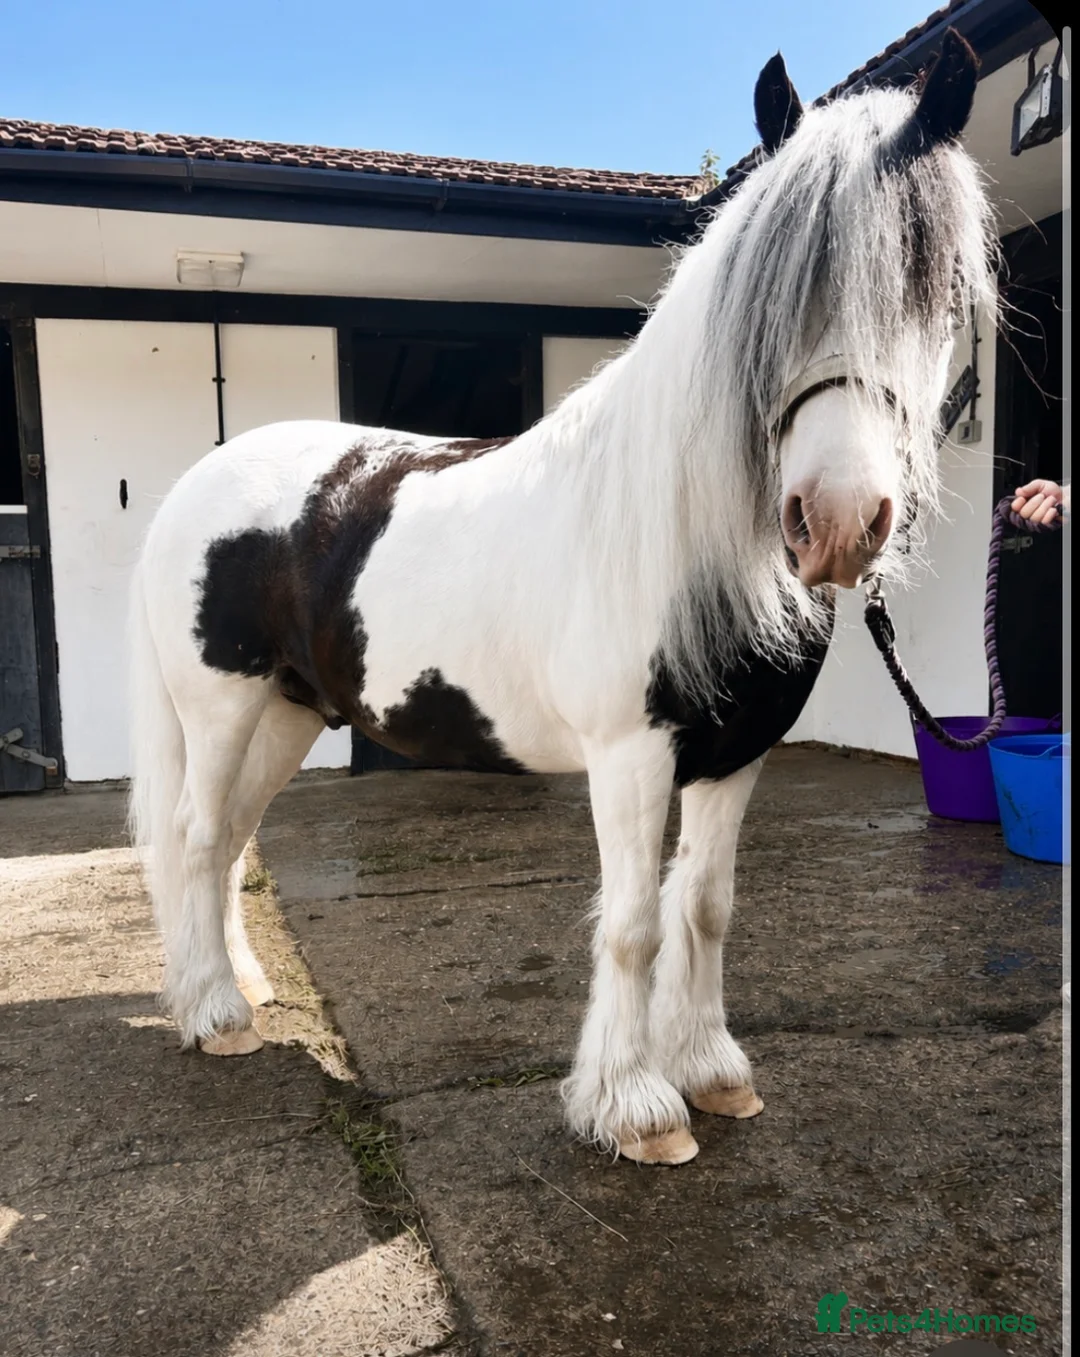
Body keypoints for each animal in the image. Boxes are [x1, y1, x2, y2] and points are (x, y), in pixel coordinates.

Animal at [130, 31, 996, 1165]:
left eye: (934, 290)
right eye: (768, 296)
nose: (840, 520)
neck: (684, 538)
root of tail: (198, 483)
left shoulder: (736, 758)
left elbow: (705, 906)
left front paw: (712, 1070)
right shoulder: (630, 758)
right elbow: (632, 921)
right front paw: (634, 1106)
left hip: (285, 713)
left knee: (229, 839)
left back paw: (243, 984)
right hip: (223, 709)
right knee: (194, 838)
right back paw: (212, 1013)